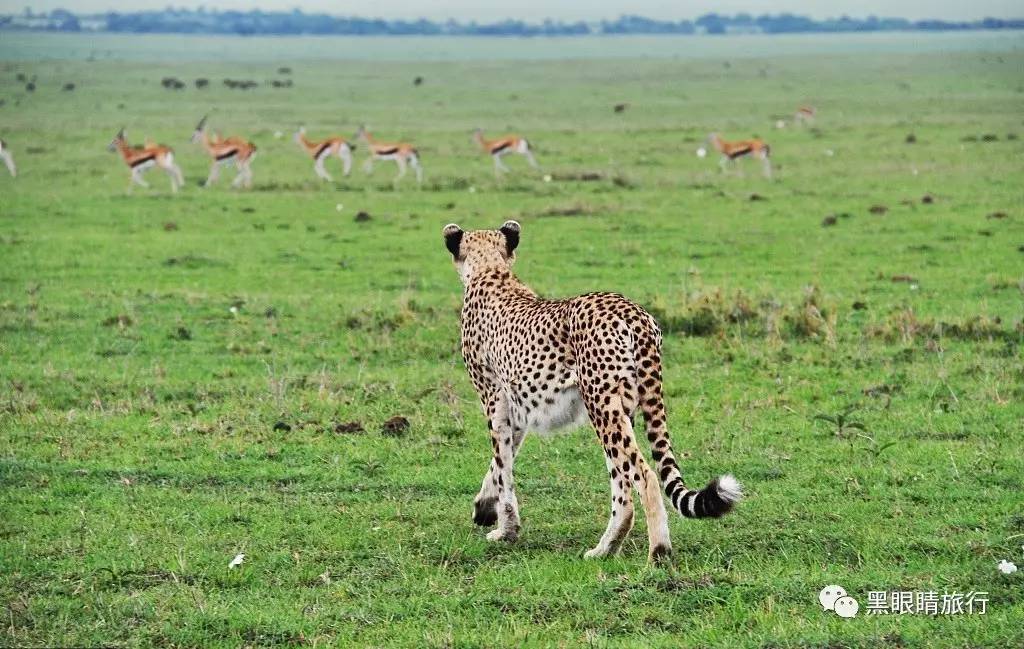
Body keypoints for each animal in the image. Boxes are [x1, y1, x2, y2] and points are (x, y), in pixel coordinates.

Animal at [444, 220, 741, 556]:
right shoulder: (516, 409)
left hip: (601, 404)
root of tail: (630, 310)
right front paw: (484, 506)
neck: (491, 271)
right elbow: (501, 463)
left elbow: (502, 466)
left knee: (645, 477)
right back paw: (606, 548)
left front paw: (505, 530)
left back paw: (658, 551)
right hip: (621, 408)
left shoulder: (494, 401)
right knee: (623, 486)